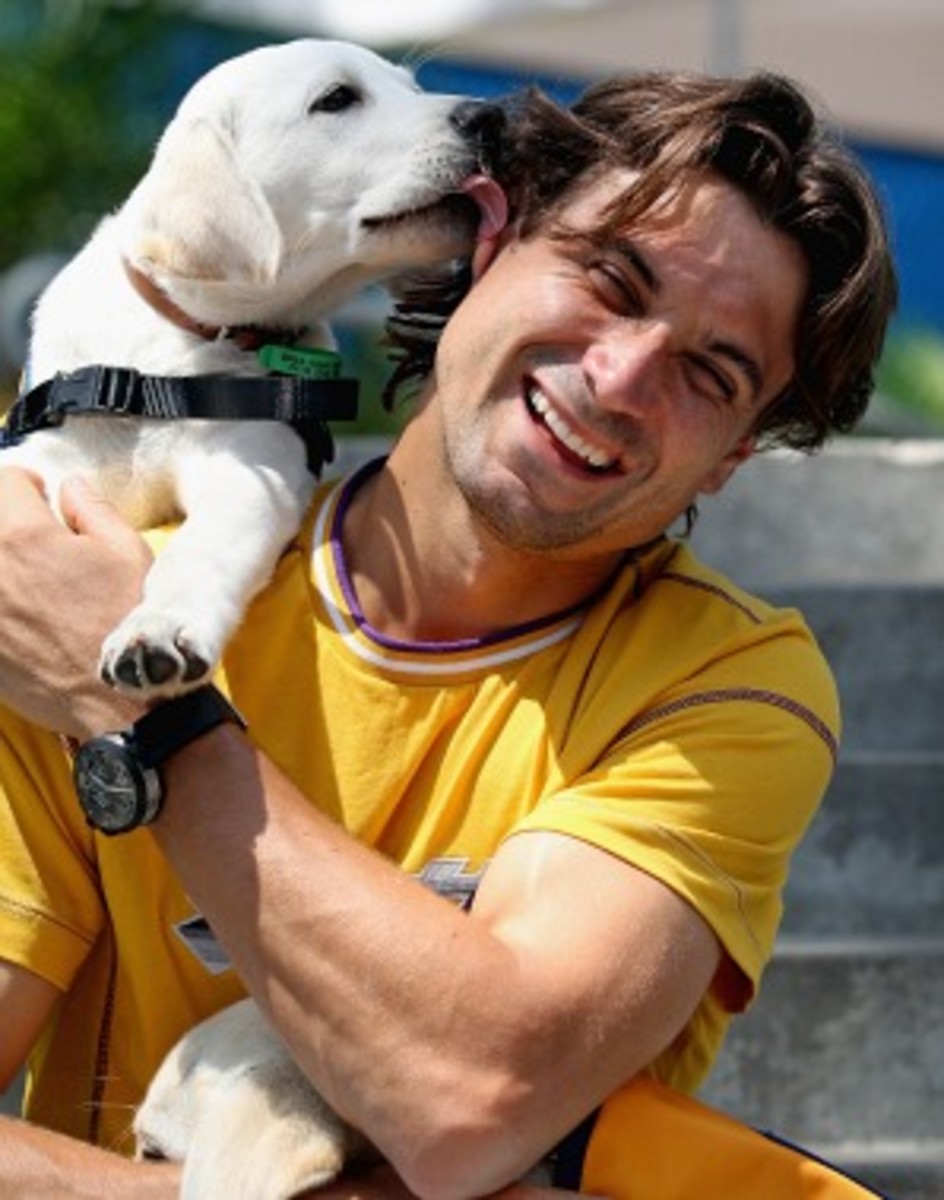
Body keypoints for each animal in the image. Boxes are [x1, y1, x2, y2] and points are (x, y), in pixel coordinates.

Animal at [3, 39, 506, 696]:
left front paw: (158, 630)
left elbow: (199, 550)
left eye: (413, 88)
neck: (162, 362)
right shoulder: (39, 461)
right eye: (337, 99)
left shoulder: (254, 467)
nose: (492, 117)